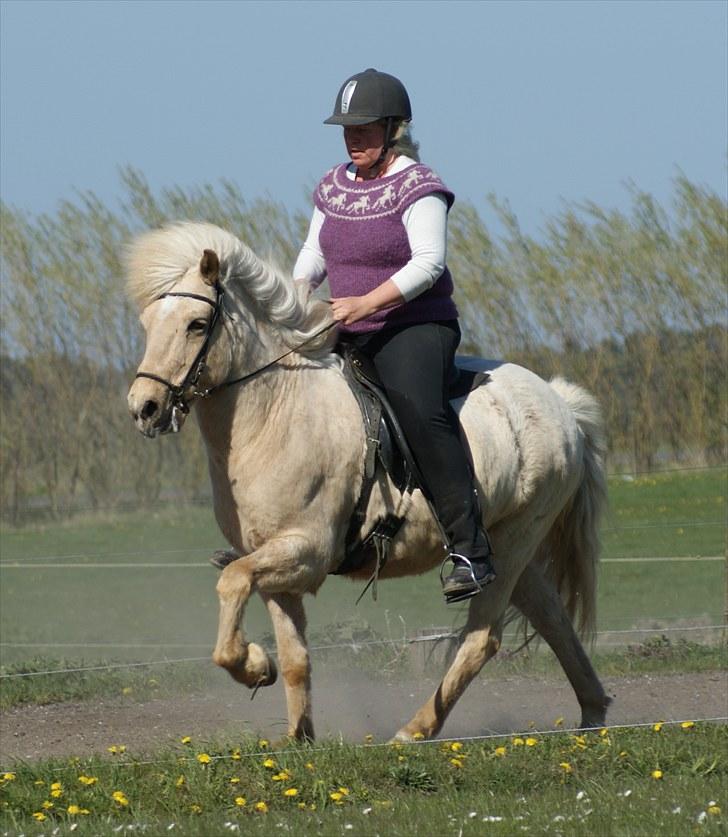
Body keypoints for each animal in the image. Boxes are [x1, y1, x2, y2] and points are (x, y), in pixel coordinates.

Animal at [126, 220, 616, 740]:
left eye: (196, 325)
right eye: (148, 324)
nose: (145, 408)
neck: (277, 412)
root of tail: (559, 403)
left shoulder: (306, 551)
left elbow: (232, 583)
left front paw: (255, 666)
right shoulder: (273, 562)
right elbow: (294, 658)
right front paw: (296, 734)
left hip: (513, 543)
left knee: (483, 638)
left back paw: (414, 730)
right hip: (509, 550)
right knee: (553, 619)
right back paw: (592, 715)